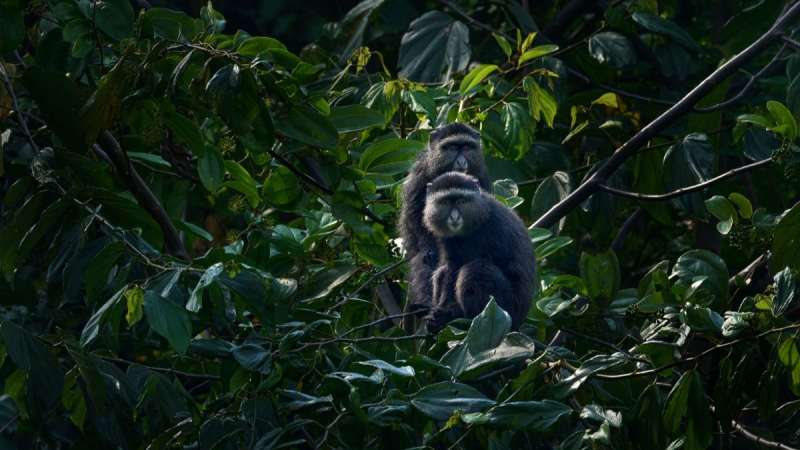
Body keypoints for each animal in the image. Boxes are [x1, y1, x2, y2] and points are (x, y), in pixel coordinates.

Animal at [398, 123, 492, 317]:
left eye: (466, 147)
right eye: (452, 148)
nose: (461, 162)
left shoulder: (481, 177)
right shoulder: (421, 174)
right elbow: (415, 216)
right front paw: (429, 251)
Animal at [421, 172, 536, 332]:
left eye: (461, 201)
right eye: (446, 202)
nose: (454, 217)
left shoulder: (493, 229)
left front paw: (446, 314)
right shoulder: (449, 240)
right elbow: (451, 267)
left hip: (507, 310)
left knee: (477, 270)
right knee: (442, 272)